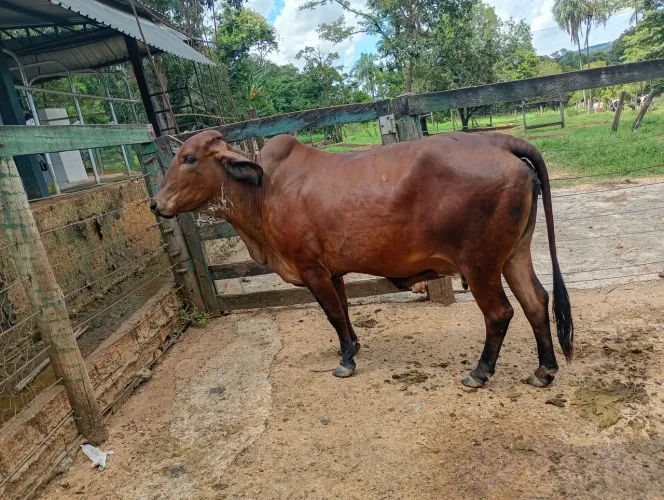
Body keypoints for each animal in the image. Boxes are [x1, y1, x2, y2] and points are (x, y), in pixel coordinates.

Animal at [151, 130, 573, 388]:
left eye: (188, 158)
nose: (155, 204)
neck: (263, 192)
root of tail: (499, 141)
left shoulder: (311, 269)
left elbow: (333, 314)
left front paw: (346, 361)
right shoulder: (332, 270)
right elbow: (344, 311)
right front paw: (353, 347)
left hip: (480, 263)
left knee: (500, 313)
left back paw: (480, 372)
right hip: (515, 253)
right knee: (536, 302)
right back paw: (544, 370)